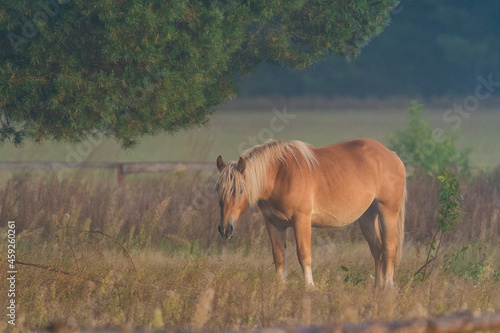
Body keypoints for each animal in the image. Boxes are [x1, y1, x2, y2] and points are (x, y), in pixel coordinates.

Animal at [215, 139, 406, 286]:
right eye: (218, 190)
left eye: (240, 190)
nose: (225, 229)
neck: (279, 174)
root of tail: (393, 156)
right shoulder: (274, 224)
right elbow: (279, 257)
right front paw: (280, 289)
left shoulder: (301, 220)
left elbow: (304, 255)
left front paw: (309, 287)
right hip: (367, 217)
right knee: (377, 249)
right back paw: (377, 288)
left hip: (388, 212)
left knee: (390, 247)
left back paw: (388, 287)